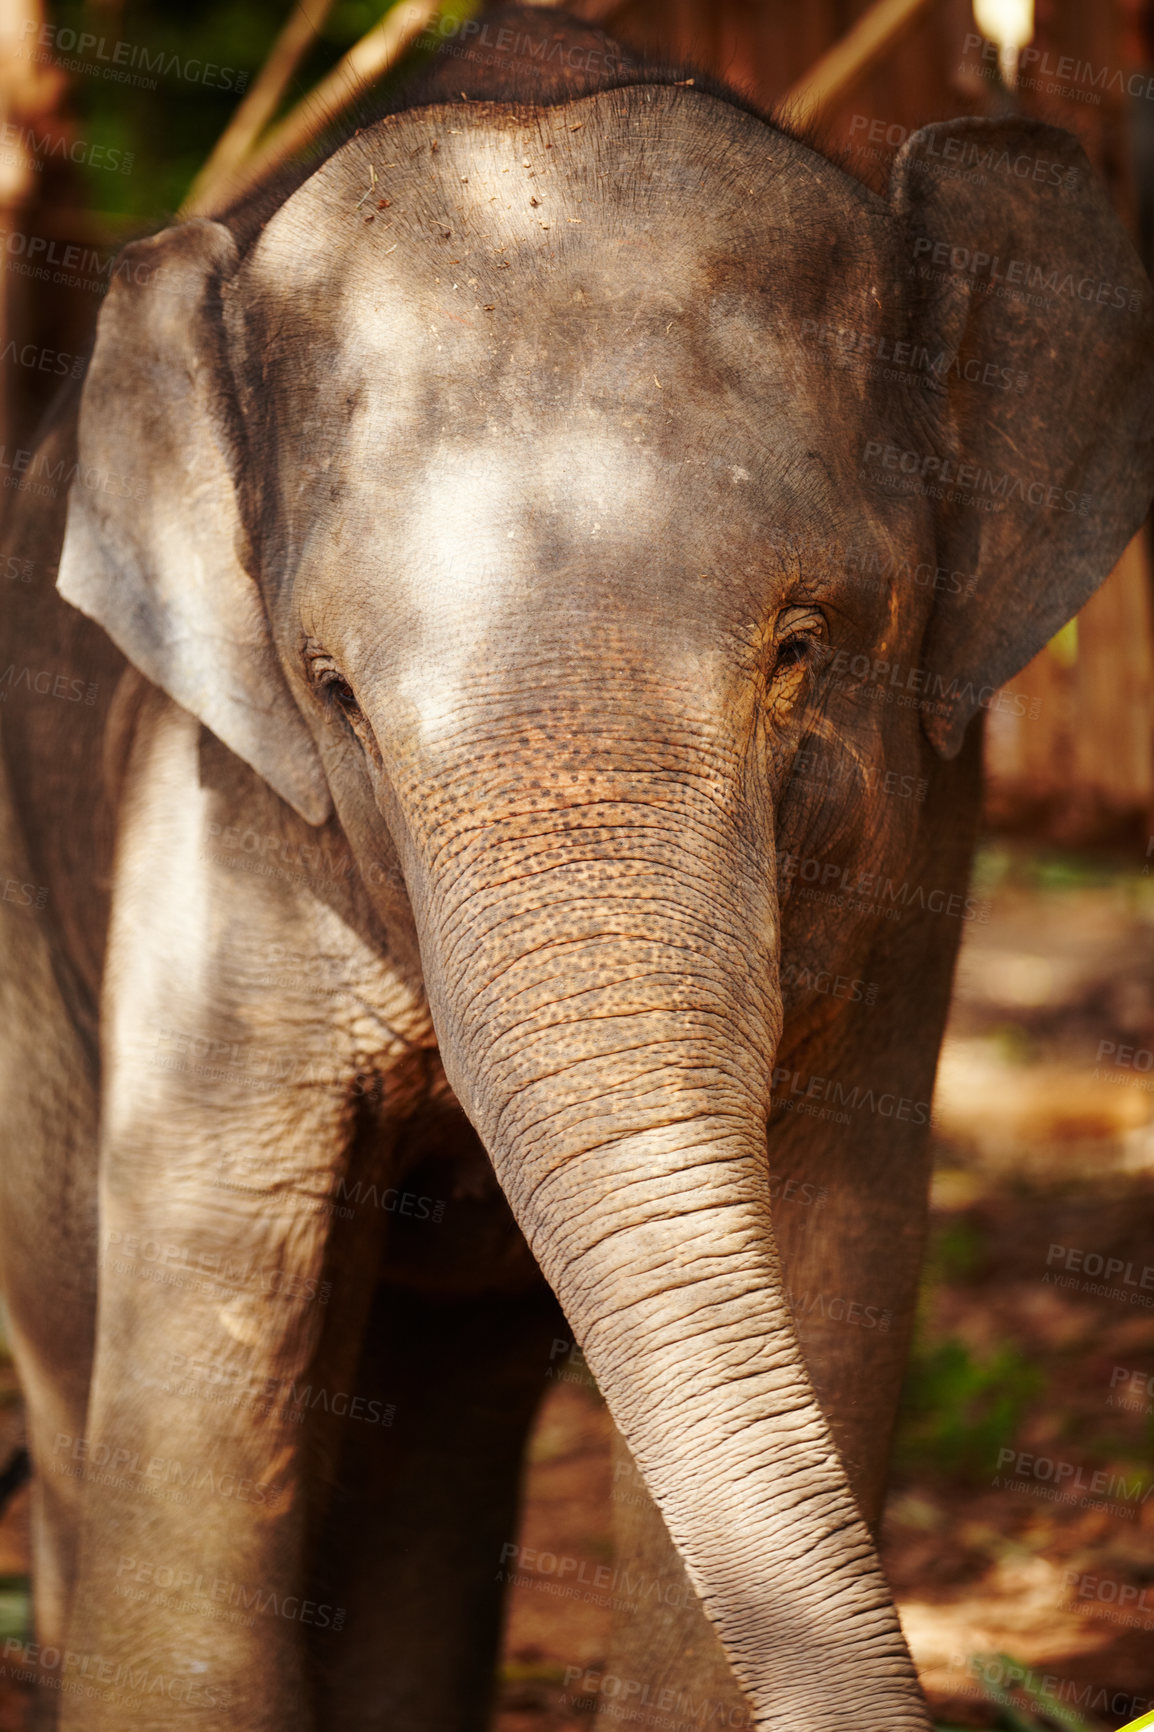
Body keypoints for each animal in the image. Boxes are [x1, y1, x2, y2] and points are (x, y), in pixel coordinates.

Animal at [2, 3, 1150, 1732]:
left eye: (801, 648)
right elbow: (208, 1300)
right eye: (330, 690)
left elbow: (832, 1252)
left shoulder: (923, 830)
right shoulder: (213, 818)